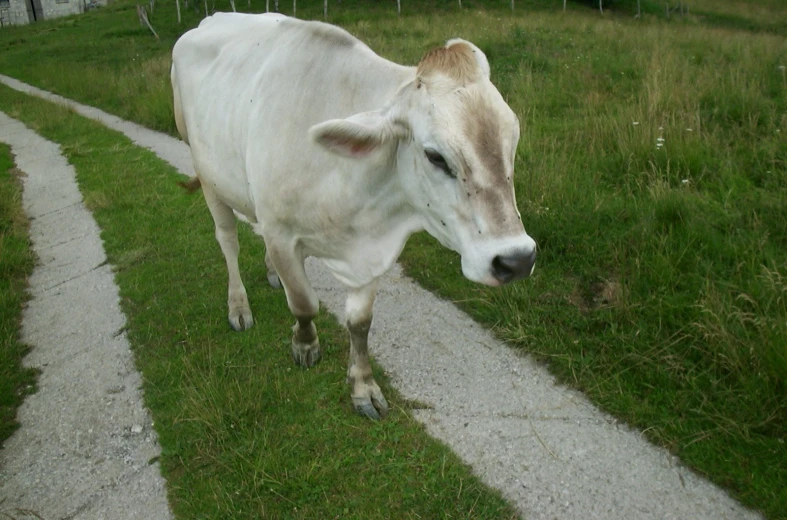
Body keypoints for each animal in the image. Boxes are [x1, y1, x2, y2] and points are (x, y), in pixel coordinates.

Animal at [173, 12, 540, 418]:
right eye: (435, 156)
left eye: (513, 140)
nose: (516, 260)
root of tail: (209, 19)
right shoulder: (283, 235)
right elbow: (304, 303)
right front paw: (305, 345)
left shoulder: (372, 248)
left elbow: (361, 323)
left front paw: (363, 387)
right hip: (207, 174)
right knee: (228, 242)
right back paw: (238, 306)